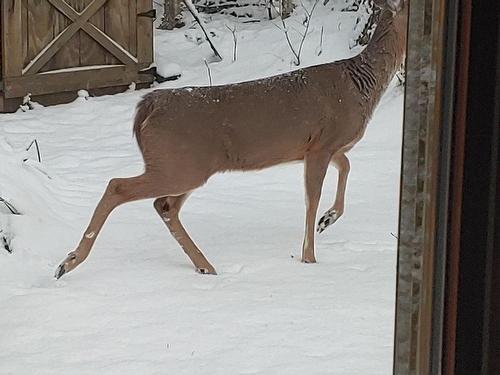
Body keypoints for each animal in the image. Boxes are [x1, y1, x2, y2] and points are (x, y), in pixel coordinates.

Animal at [54, 0, 408, 280]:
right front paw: (310, 258)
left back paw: (205, 266)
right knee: (119, 186)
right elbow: (312, 198)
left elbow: (345, 166)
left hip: (183, 165)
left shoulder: (320, 147)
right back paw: (67, 263)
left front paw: (328, 219)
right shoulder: (322, 143)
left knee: (164, 205)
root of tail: (147, 106)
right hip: (179, 164)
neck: (361, 85)